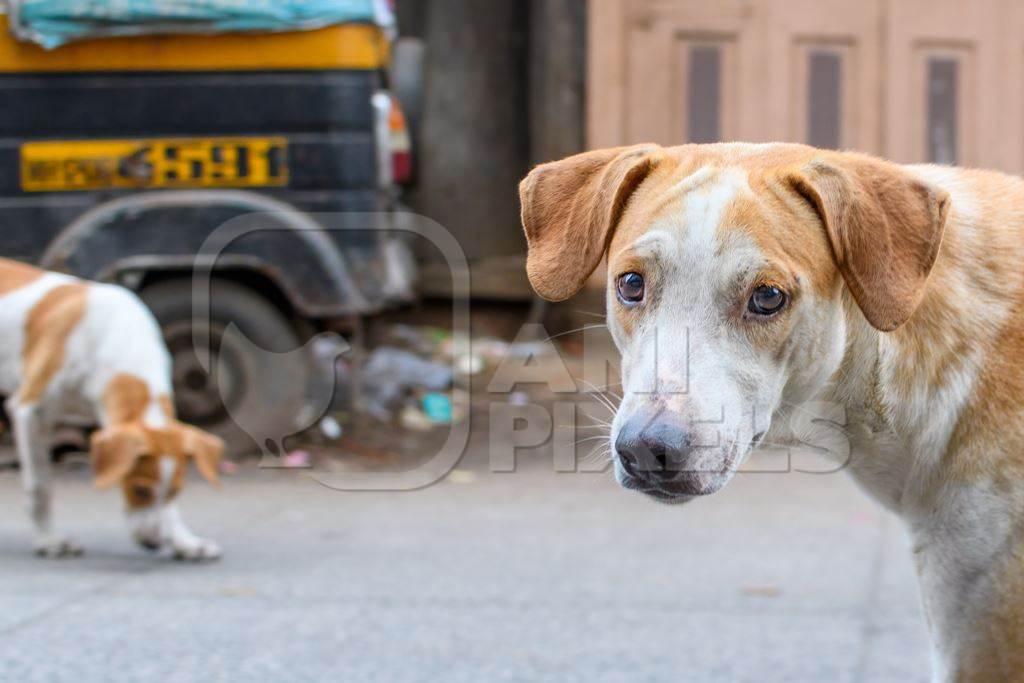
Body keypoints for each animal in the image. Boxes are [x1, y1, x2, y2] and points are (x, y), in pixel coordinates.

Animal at [0, 255, 224, 561]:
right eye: (140, 490)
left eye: (174, 492)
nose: (155, 543)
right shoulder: (30, 412)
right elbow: (40, 487)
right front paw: (50, 541)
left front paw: (184, 541)